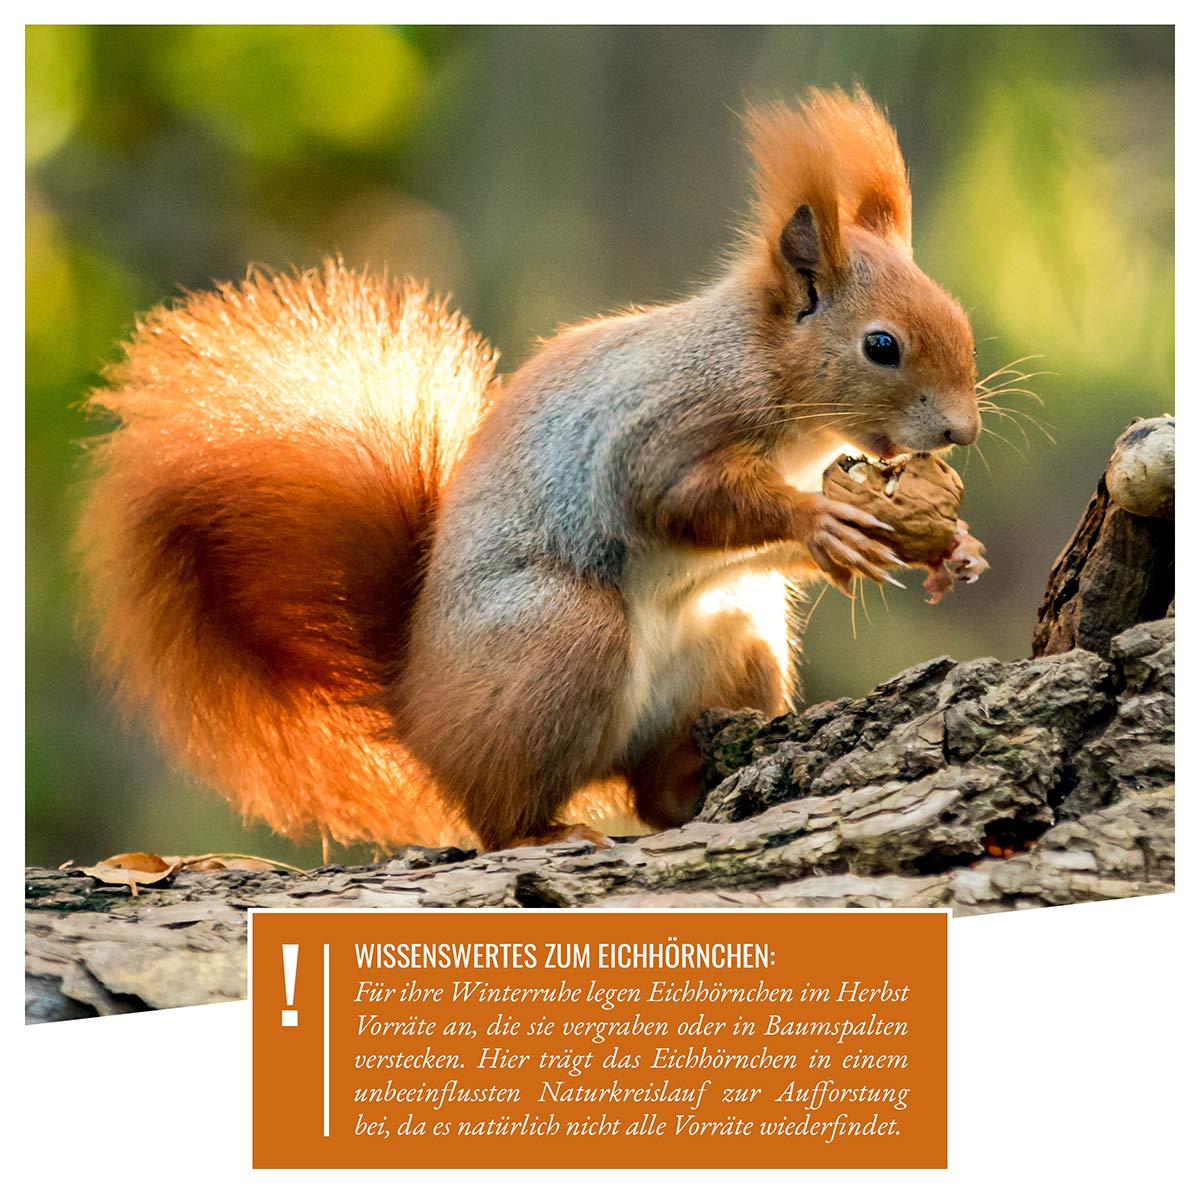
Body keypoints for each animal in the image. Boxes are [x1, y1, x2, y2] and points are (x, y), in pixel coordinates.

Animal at [76, 87, 981, 856]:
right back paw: (544, 830)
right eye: (881, 345)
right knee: (499, 813)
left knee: (653, 790)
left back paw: (689, 794)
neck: (771, 377)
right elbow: (679, 499)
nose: (962, 431)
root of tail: (417, 707)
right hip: (562, 640)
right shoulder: (665, 428)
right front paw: (823, 521)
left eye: (959, 317)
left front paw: (951, 550)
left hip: (735, 648)